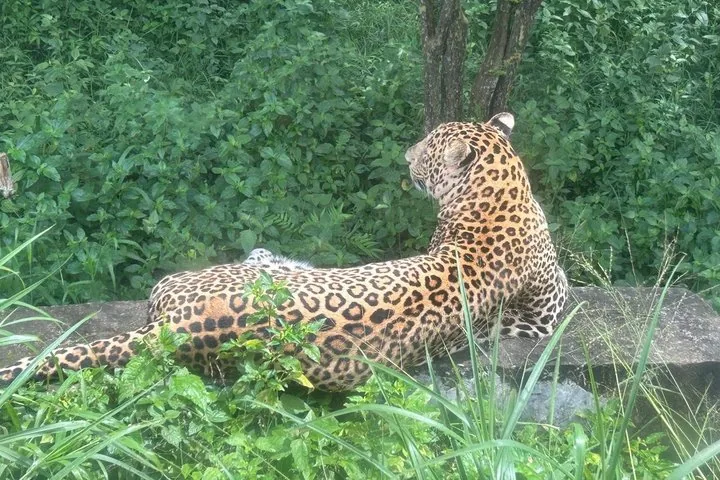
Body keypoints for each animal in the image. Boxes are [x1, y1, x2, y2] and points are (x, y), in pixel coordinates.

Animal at [0, 113, 567, 391]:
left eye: (427, 150)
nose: (406, 156)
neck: (502, 189)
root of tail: (180, 327)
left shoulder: (547, 313)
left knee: (261, 259)